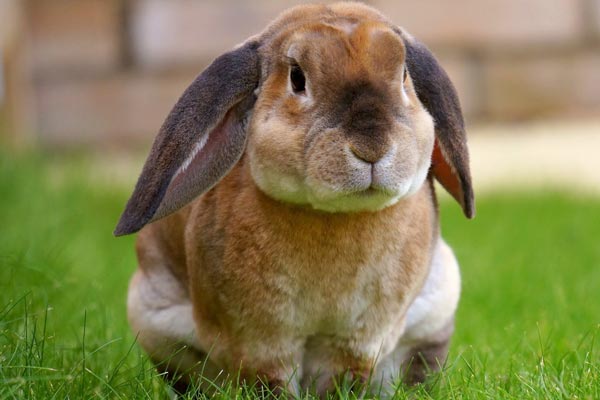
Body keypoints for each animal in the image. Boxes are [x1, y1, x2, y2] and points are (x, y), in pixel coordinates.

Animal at [115, 2, 476, 396]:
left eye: (404, 76)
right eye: (297, 78)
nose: (372, 147)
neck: (333, 216)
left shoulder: (356, 342)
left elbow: (341, 381)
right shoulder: (260, 342)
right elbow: (270, 382)